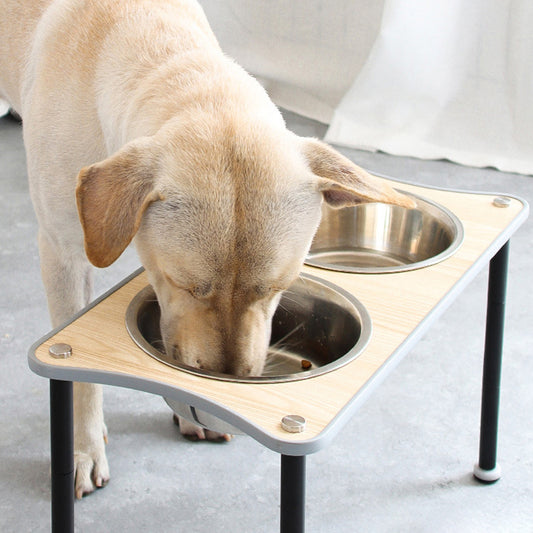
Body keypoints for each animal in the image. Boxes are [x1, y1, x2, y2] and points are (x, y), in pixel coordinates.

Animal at [0, 1, 414, 498]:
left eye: (277, 287)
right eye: (188, 285)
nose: (229, 379)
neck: (160, 47)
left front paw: (186, 409)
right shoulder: (63, 256)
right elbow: (78, 379)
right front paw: (84, 447)